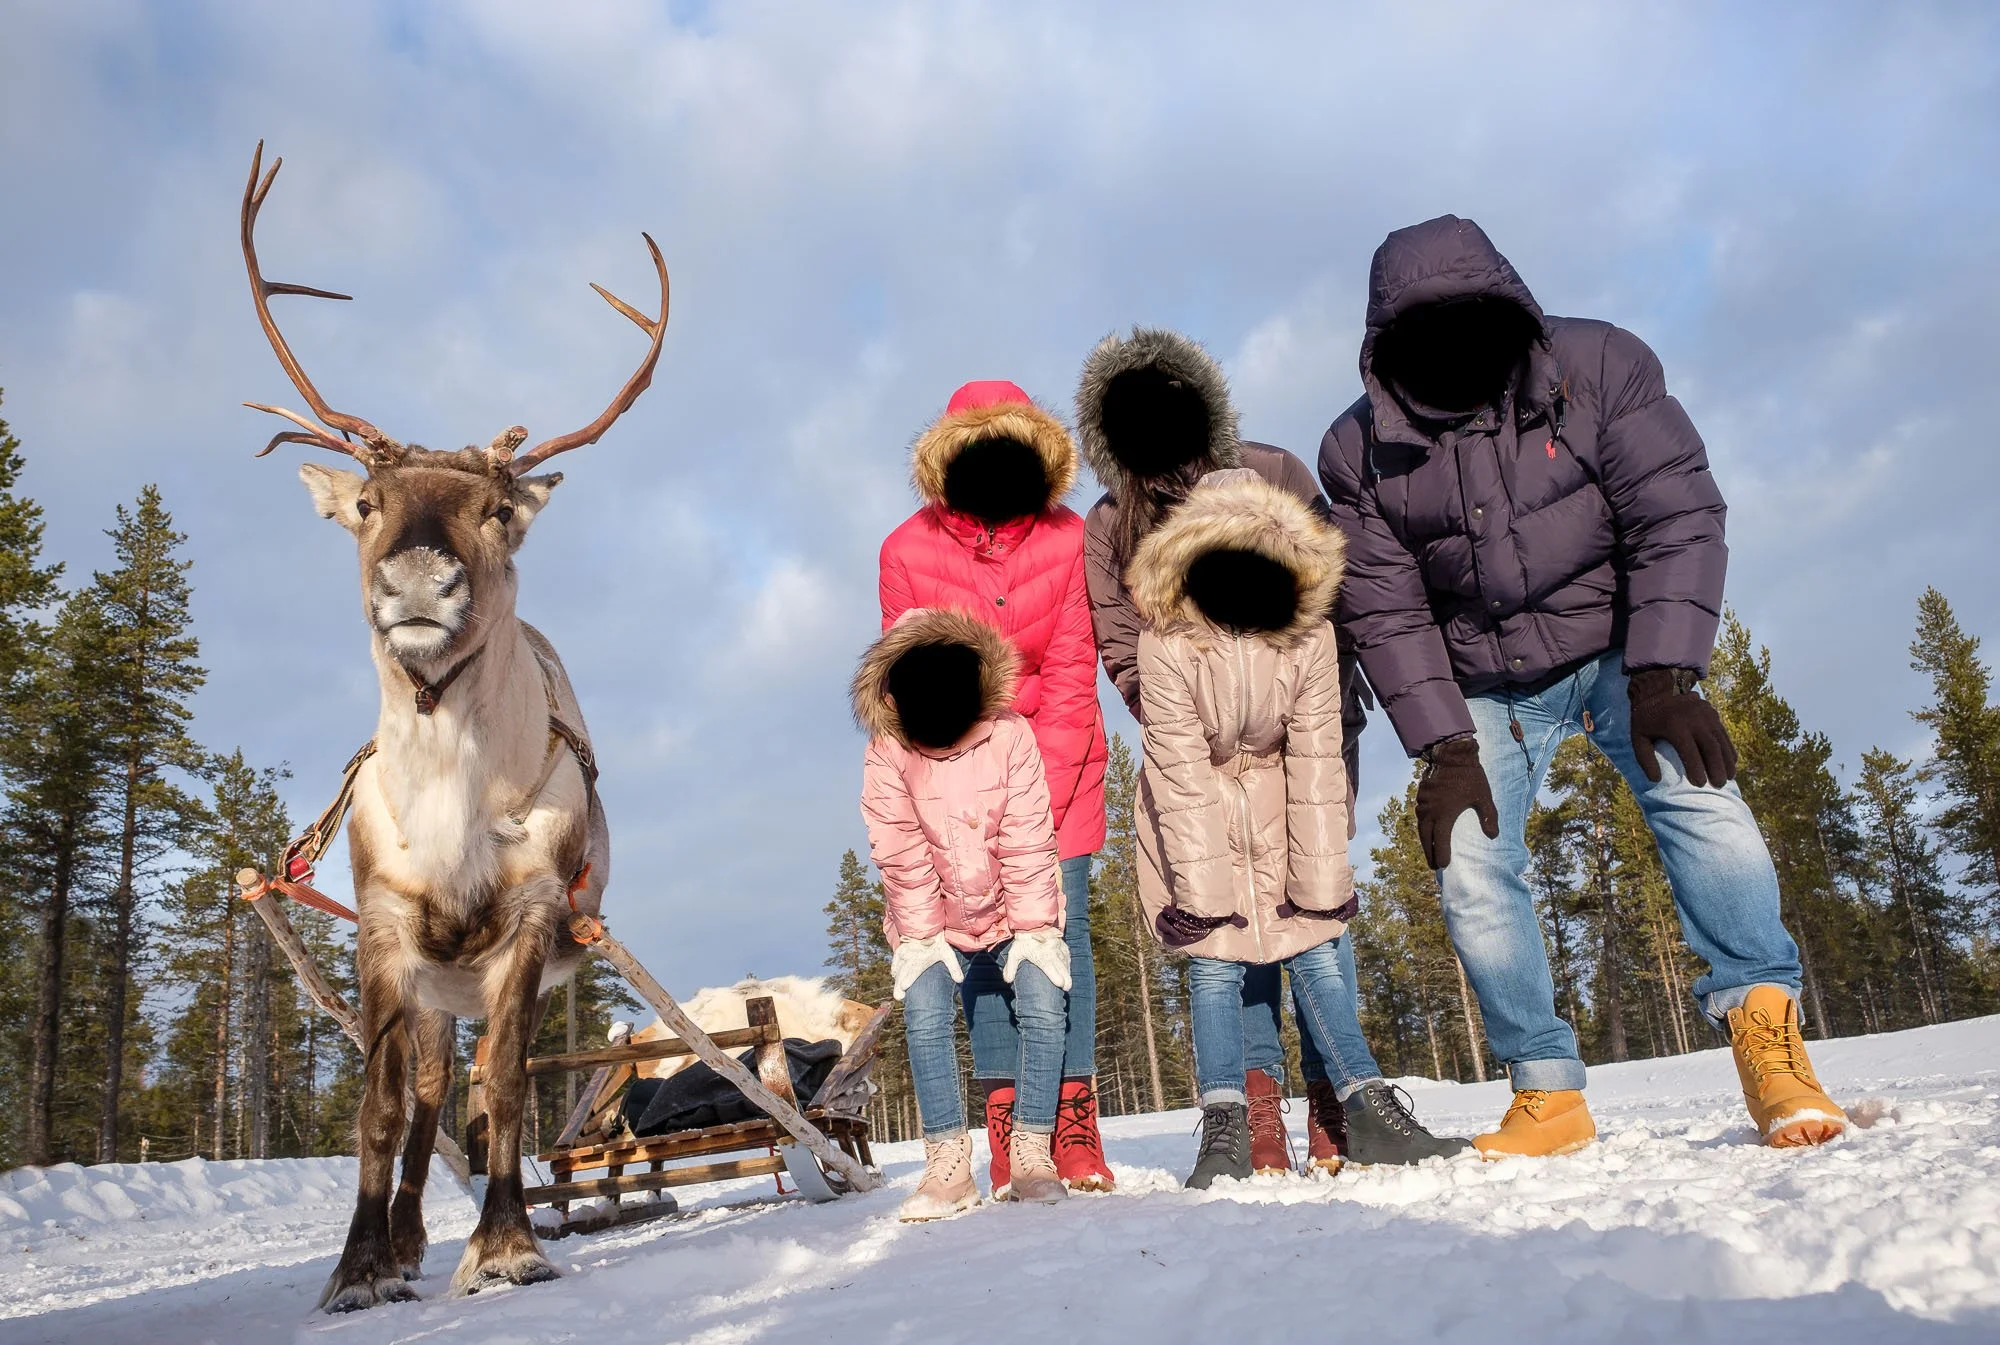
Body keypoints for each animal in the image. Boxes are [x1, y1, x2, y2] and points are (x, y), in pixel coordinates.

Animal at [236, 143, 665, 1311]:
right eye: (369, 502)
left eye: (497, 510)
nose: (420, 581)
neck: (452, 810)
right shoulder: (384, 932)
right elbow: (378, 1109)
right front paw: (354, 1270)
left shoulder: (525, 925)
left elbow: (506, 1087)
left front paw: (506, 1244)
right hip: (429, 983)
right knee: (423, 1090)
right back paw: (396, 1242)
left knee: (461, 1083)